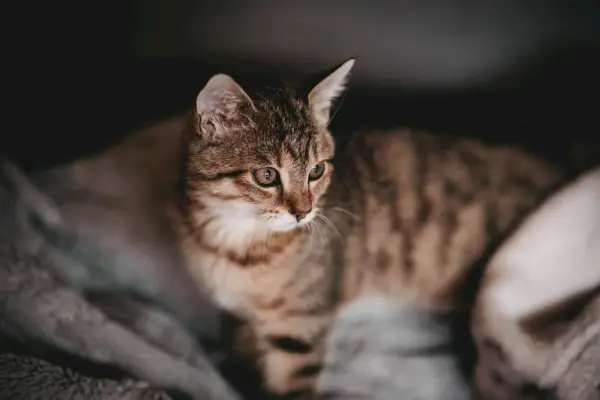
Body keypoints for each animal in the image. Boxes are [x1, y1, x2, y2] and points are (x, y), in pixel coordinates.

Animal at [175, 59, 572, 396]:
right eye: (267, 175)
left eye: (316, 170)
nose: (304, 212)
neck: (235, 241)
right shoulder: (239, 314)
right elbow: (241, 343)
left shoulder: (300, 329)